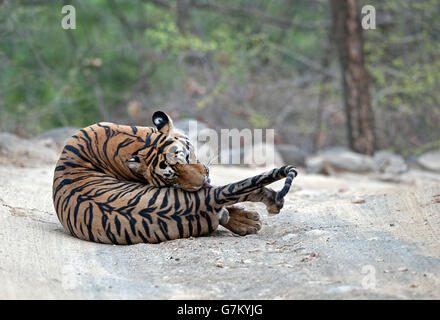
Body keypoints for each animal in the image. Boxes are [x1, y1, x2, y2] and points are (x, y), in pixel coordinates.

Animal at [53, 111, 298, 244]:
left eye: (187, 156)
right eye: (172, 177)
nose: (200, 183)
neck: (134, 143)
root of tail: (203, 202)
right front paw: (247, 220)